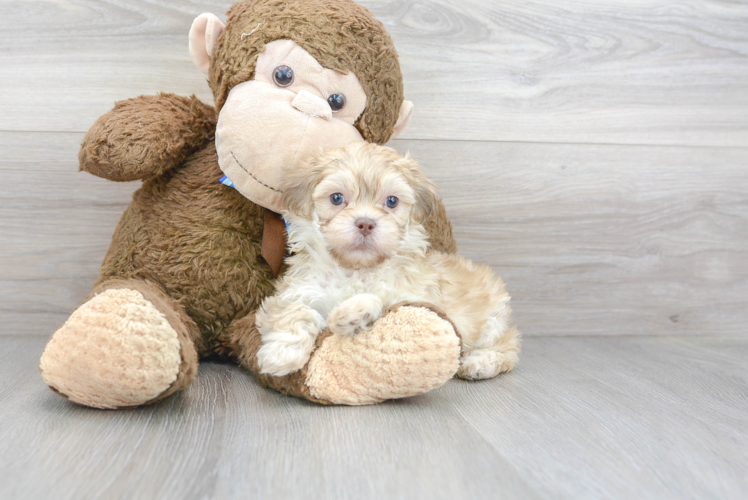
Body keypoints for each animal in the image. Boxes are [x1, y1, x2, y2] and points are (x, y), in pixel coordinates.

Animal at [258, 143, 520, 380]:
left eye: (392, 201)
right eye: (336, 198)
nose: (365, 223)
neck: (355, 269)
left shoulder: (415, 300)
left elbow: (382, 304)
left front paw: (353, 312)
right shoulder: (294, 292)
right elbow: (298, 312)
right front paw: (282, 354)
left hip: (493, 323)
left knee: (509, 345)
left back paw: (480, 363)